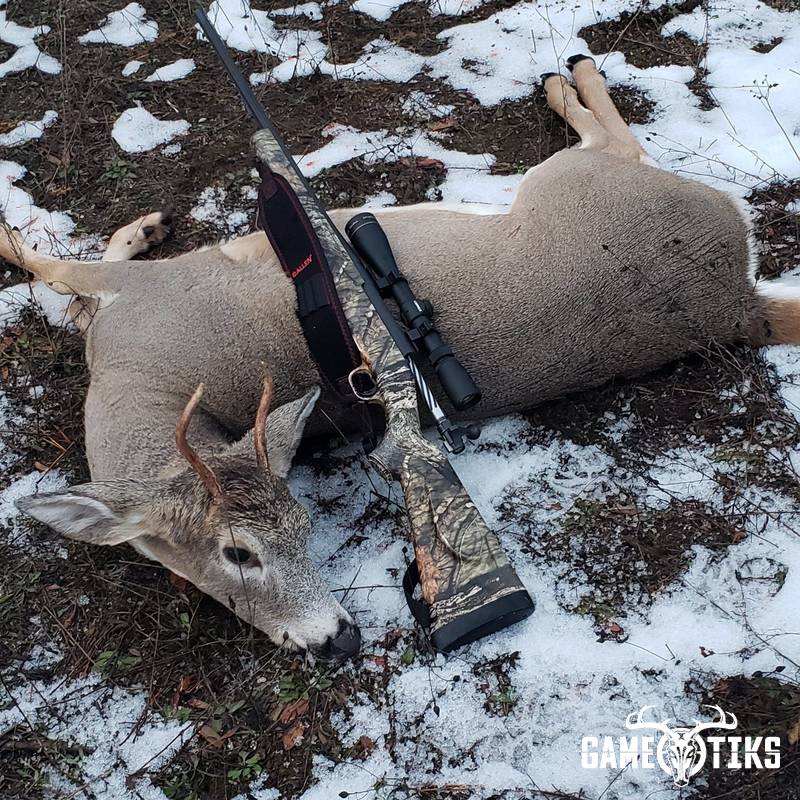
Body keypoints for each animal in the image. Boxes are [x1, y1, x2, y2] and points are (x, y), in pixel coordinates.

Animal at [2, 56, 797, 661]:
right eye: (235, 555)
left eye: (297, 527)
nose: (337, 640)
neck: (134, 378)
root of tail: (741, 300)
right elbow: (69, 285)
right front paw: (141, 227)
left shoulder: (152, 290)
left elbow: (47, 262)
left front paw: (117, 228)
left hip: (578, 182)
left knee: (618, 142)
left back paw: (569, 75)